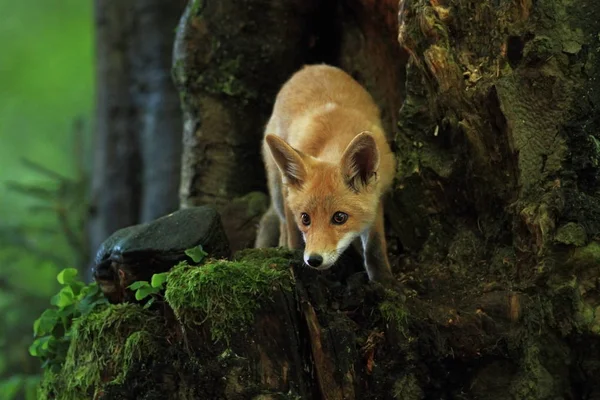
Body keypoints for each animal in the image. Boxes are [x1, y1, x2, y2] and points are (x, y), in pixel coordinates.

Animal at [255, 64, 396, 284]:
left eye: (339, 218)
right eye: (305, 219)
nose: (313, 260)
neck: (336, 139)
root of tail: (311, 67)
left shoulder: (376, 196)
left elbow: (374, 247)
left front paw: (383, 281)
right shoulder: (290, 200)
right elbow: (295, 239)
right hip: (279, 190)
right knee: (281, 223)